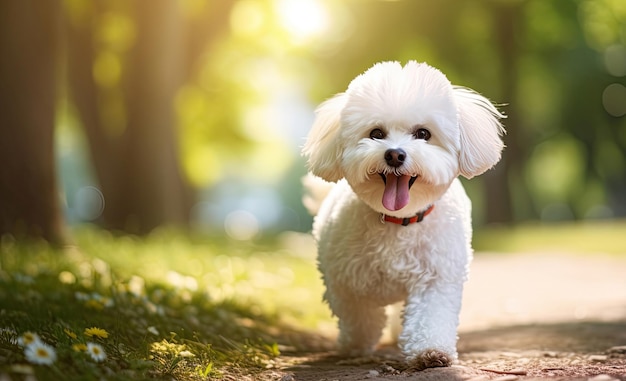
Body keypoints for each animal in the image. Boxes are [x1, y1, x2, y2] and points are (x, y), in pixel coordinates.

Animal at [302, 61, 502, 368]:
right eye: (376, 133)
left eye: (423, 134)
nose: (395, 155)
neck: (398, 221)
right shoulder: (345, 280)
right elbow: (359, 315)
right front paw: (355, 345)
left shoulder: (435, 277)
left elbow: (431, 314)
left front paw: (430, 351)